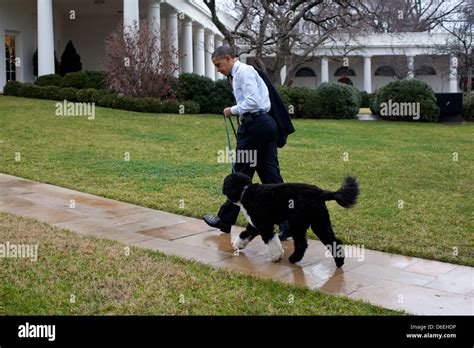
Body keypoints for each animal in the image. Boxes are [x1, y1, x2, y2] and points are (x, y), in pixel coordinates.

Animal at [222, 173, 360, 266]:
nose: (222, 190)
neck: (245, 192)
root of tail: (320, 193)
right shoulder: (255, 225)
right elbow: (245, 234)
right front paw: (238, 245)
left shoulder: (264, 226)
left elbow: (271, 241)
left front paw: (276, 257)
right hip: (319, 222)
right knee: (334, 241)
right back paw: (339, 262)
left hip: (298, 223)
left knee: (302, 244)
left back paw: (294, 258)